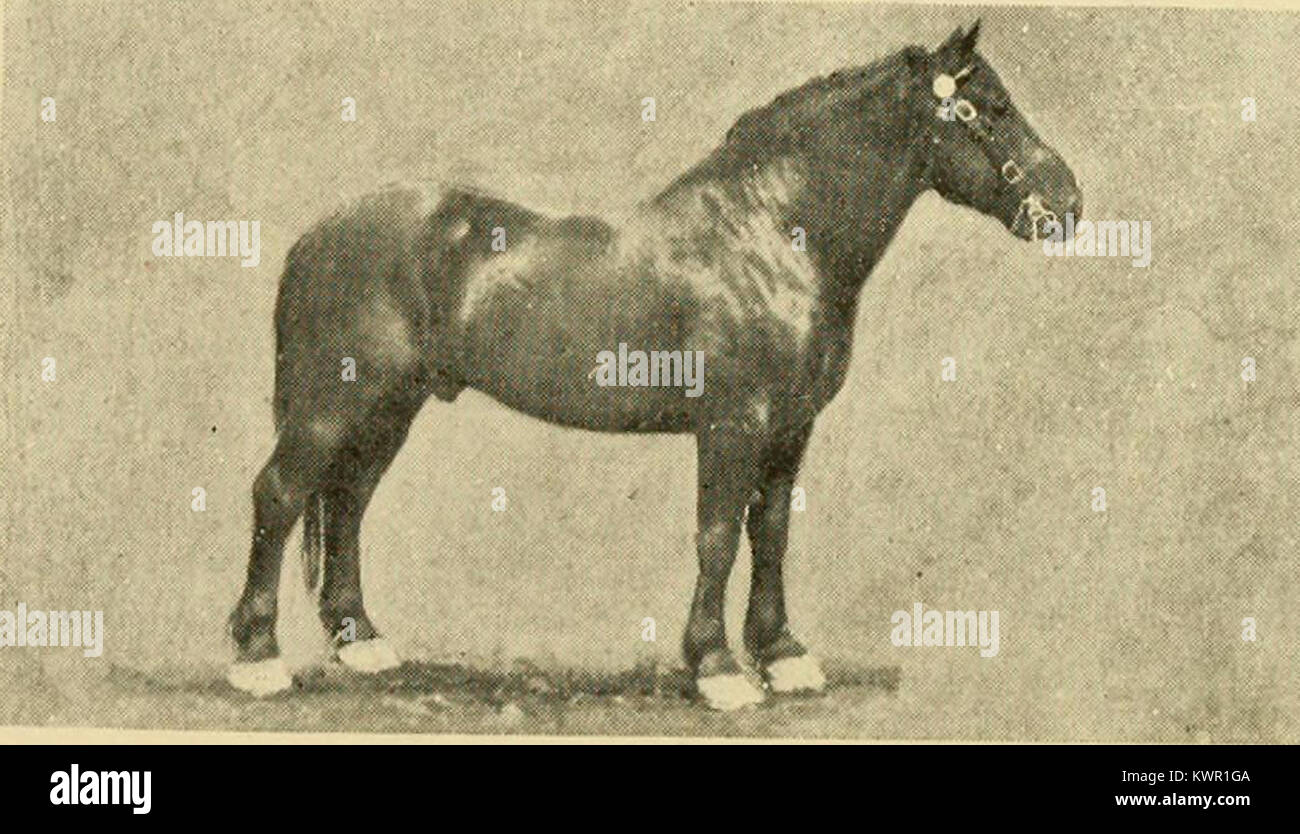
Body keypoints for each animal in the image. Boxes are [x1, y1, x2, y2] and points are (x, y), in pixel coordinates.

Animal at [227, 21, 1082, 710]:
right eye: (991, 109)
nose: (1067, 203)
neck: (771, 234)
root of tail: (318, 233)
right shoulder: (732, 426)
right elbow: (718, 537)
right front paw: (718, 669)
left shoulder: (790, 430)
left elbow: (771, 533)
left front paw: (783, 656)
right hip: (329, 408)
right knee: (280, 495)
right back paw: (257, 657)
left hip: (389, 410)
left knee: (348, 503)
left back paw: (362, 643)